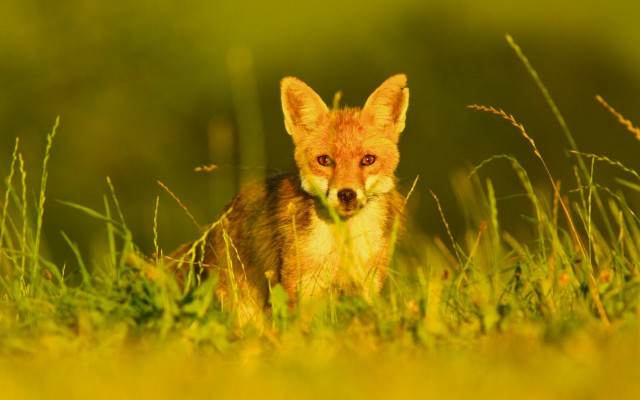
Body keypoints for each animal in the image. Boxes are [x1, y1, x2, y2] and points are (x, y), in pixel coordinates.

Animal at [167, 74, 409, 323]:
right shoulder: (300, 291)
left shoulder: (366, 289)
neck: (341, 243)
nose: (346, 194)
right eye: (325, 160)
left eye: (368, 160)